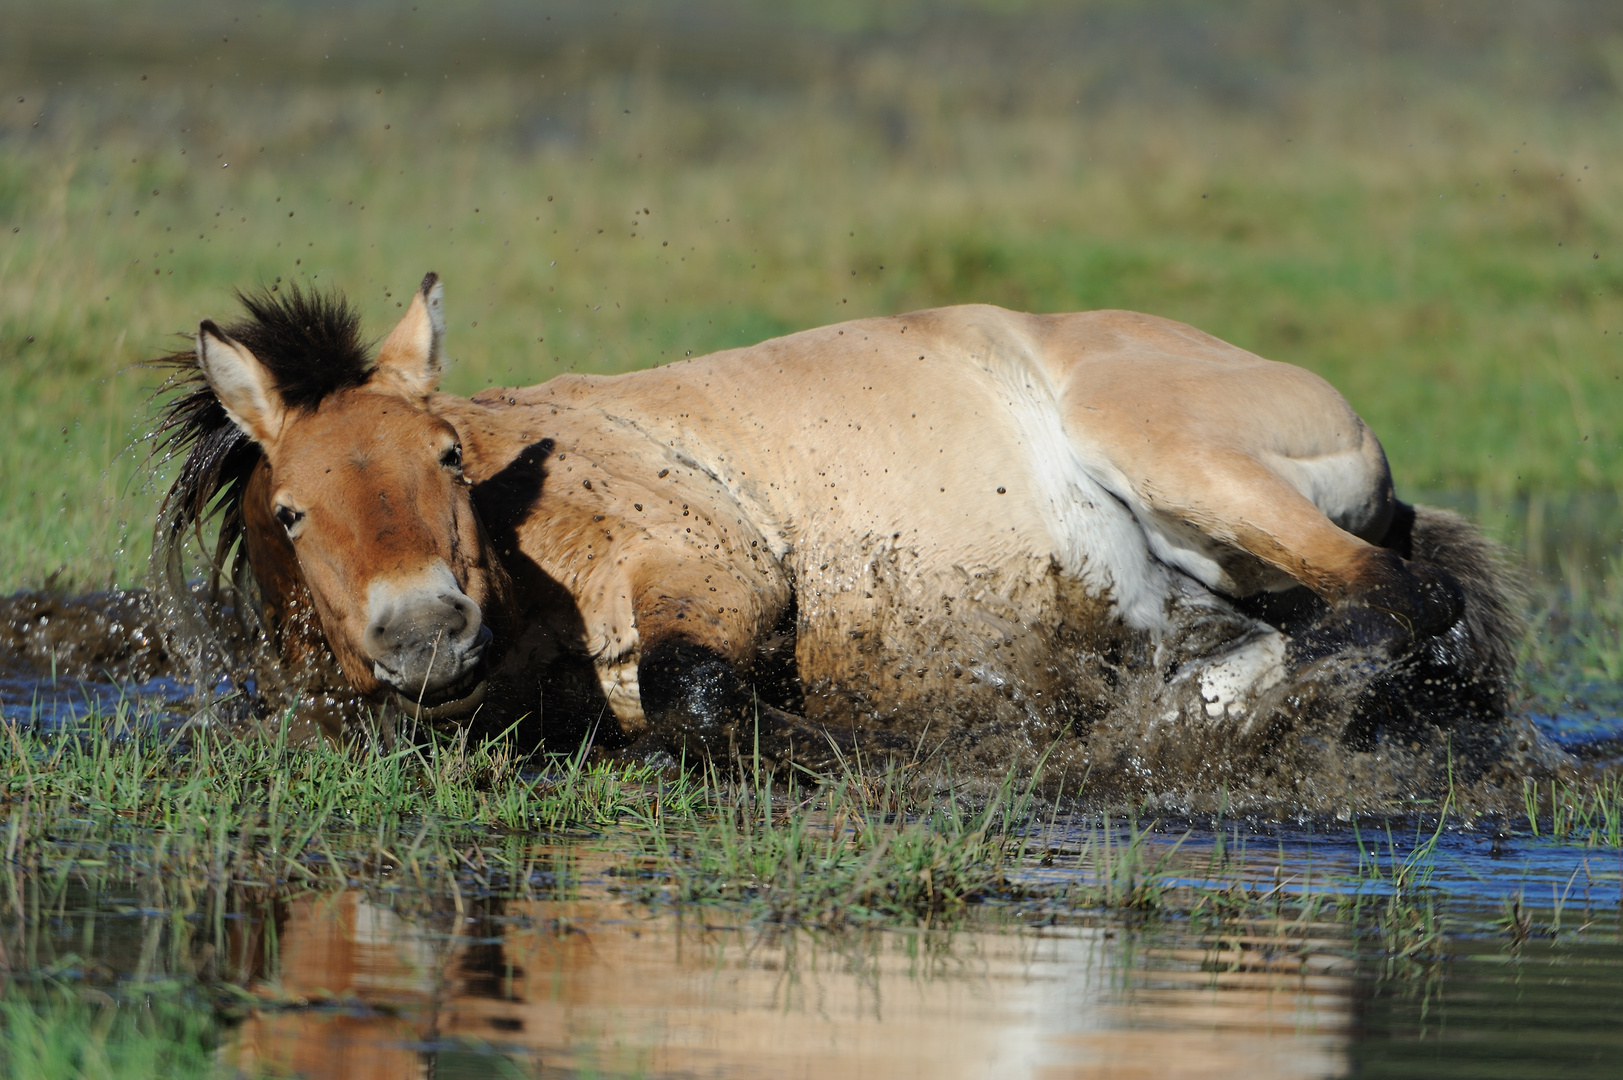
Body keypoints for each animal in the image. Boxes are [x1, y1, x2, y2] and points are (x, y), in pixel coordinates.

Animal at [146, 277, 1525, 808]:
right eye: (291, 512)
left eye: (445, 458)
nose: (429, 632)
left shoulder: (717, 566)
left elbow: (693, 689)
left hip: (1181, 460)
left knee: (1393, 599)